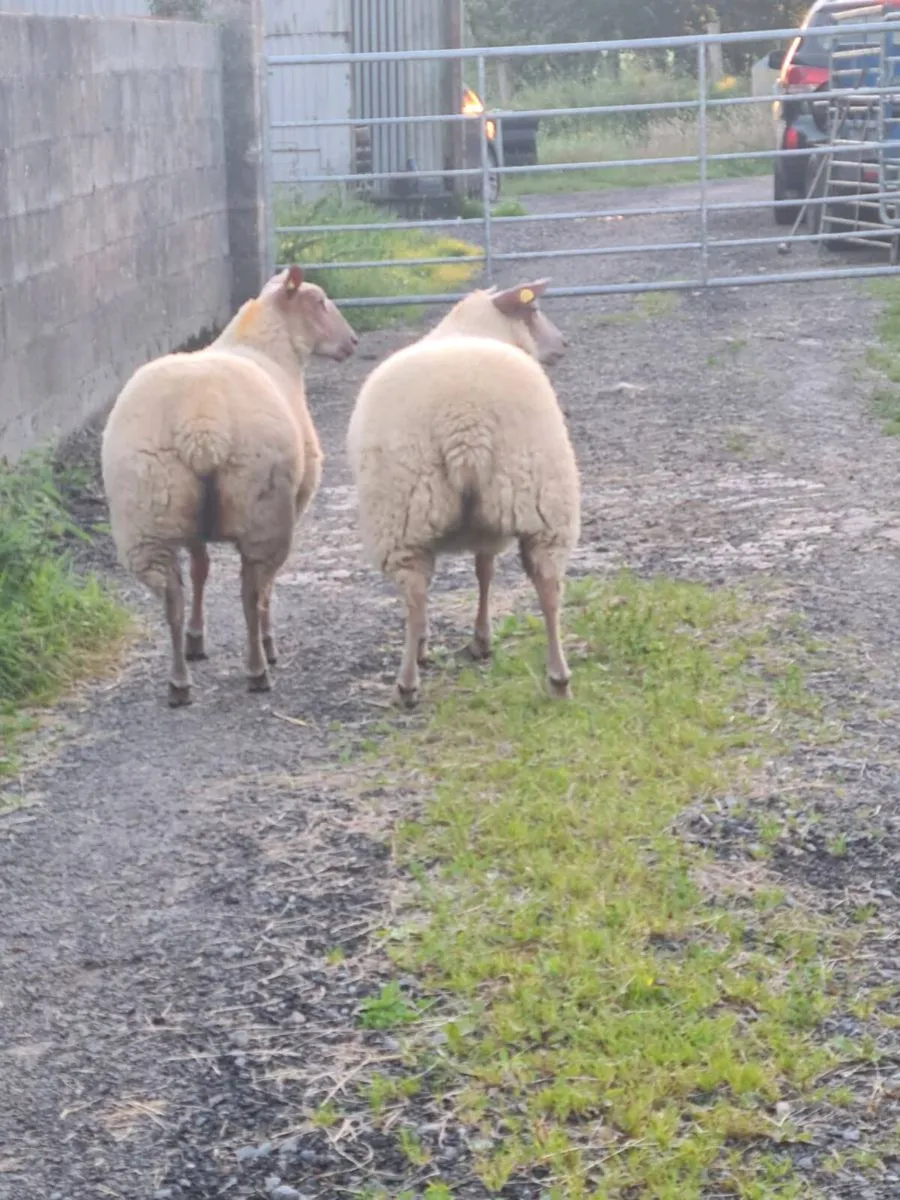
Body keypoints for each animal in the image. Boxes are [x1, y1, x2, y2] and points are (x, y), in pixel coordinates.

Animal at [101, 265, 358, 707]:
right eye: (320, 301)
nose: (353, 342)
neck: (267, 347)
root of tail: (202, 421)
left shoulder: (191, 527)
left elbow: (201, 571)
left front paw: (196, 638)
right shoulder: (293, 505)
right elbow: (261, 587)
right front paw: (268, 644)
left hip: (150, 514)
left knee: (171, 597)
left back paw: (179, 681)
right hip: (262, 511)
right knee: (251, 592)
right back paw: (258, 667)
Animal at [346, 278, 579, 707]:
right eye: (534, 309)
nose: (564, 343)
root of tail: (466, 421)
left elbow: (479, 574)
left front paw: (469, 641)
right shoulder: (490, 523)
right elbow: (484, 571)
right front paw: (480, 640)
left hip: (401, 515)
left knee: (414, 593)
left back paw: (407, 683)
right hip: (541, 498)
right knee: (550, 587)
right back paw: (558, 678)